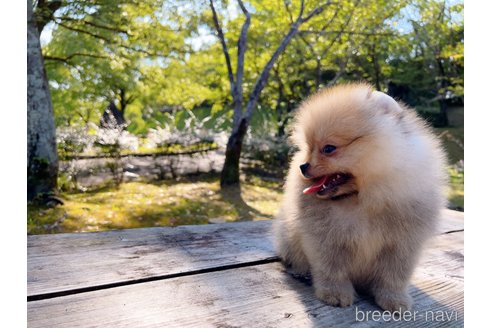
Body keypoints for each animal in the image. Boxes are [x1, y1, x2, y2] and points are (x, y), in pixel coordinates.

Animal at [274, 83, 448, 312]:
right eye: (308, 148)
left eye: (328, 149)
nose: (303, 166)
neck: (362, 200)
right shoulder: (326, 239)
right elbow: (332, 270)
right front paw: (335, 294)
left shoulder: (401, 244)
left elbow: (393, 277)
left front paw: (394, 299)